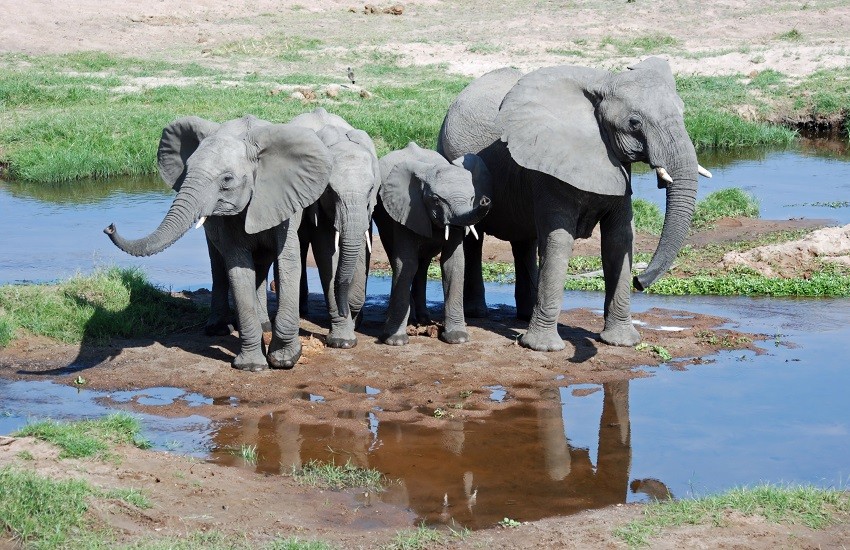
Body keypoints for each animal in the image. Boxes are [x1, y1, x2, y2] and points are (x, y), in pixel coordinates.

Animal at [102, 116, 332, 376]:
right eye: (186, 171)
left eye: (227, 179)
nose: (109, 226)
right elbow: (238, 268)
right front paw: (251, 367)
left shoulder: (284, 201)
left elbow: (288, 262)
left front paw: (284, 360)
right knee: (219, 265)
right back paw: (218, 329)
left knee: (262, 264)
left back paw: (264, 324)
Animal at [290, 108, 380, 350]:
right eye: (330, 191)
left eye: (371, 189)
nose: (345, 311)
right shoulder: (317, 203)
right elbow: (326, 253)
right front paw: (343, 342)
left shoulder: (367, 210)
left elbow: (361, 250)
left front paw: (354, 312)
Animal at [374, 144, 494, 348]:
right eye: (436, 199)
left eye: (472, 198)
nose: (485, 200)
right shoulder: (406, 210)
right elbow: (406, 263)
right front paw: (395, 341)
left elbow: (453, 264)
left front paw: (458, 338)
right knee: (404, 261)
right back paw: (413, 319)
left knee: (422, 266)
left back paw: (423, 319)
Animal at [438, 58, 708, 352]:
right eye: (634, 122)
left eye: (682, 110)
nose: (640, 282)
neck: (604, 83)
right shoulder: (549, 166)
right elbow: (558, 242)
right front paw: (543, 348)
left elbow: (619, 240)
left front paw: (622, 342)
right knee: (474, 239)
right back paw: (478, 314)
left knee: (524, 241)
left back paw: (524, 316)